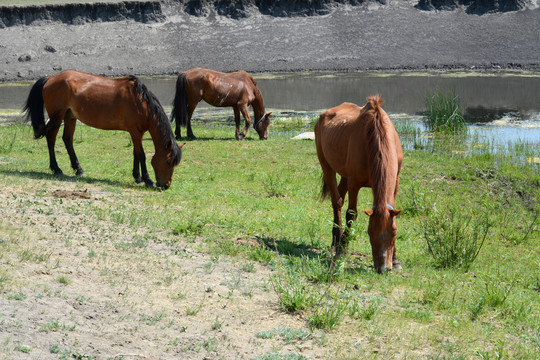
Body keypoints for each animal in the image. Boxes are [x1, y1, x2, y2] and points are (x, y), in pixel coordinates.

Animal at [23, 68, 184, 190]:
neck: (141, 102)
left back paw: (78, 169)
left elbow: (135, 154)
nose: (166, 185)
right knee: (51, 137)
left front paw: (137, 177)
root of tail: (50, 78)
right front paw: (147, 180)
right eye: (168, 162)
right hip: (57, 116)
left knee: (67, 139)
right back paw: (56, 169)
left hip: (70, 117)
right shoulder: (134, 131)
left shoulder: (138, 133)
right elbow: (142, 155)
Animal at [314, 95, 402, 272]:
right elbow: (351, 214)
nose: (383, 268)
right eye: (370, 233)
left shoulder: (395, 181)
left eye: (394, 234)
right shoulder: (354, 182)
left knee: (339, 197)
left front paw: (396, 260)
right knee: (337, 202)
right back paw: (337, 240)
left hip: (344, 175)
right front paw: (342, 249)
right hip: (327, 167)